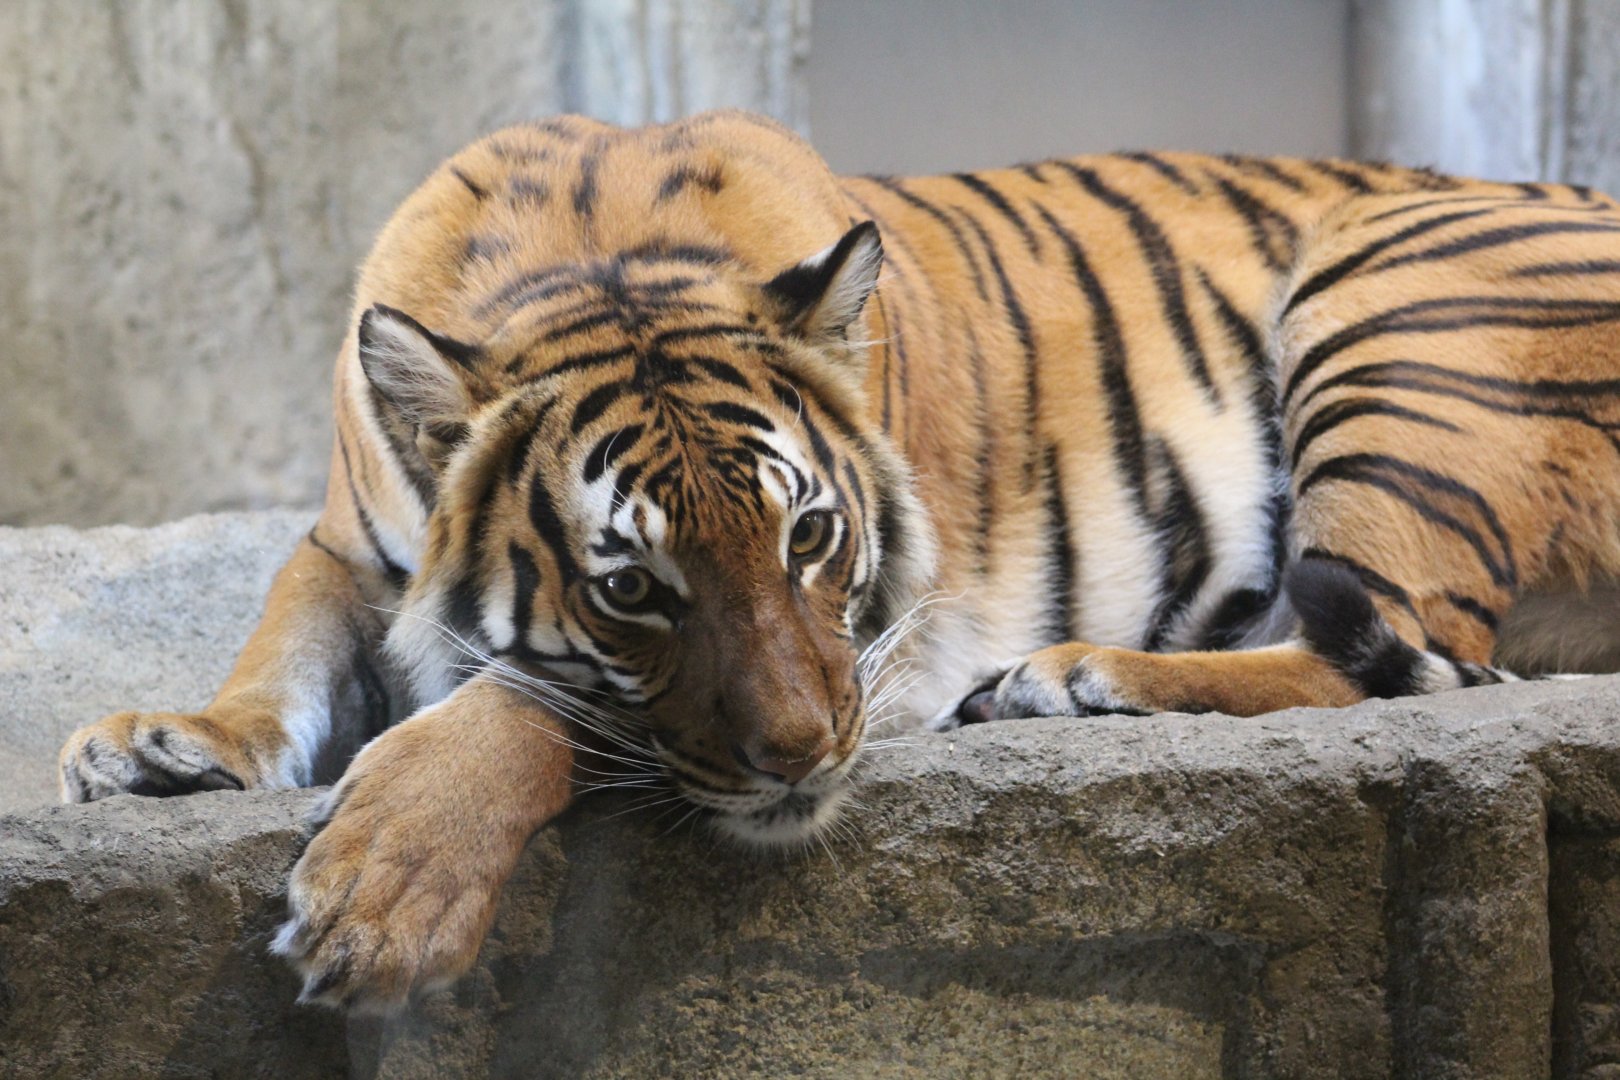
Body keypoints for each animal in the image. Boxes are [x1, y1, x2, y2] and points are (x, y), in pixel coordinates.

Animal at [56, 110, 1620, 1010]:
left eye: (810, 536)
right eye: (632, 589)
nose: (808, 756)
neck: (594, 259)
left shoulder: (895, 645)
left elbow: (522, 703)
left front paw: (386, 891)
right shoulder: (342, 539)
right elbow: (284, 646)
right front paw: (170, 745)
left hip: (1392, 293)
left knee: (1390, 649)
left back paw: (1077, 676)